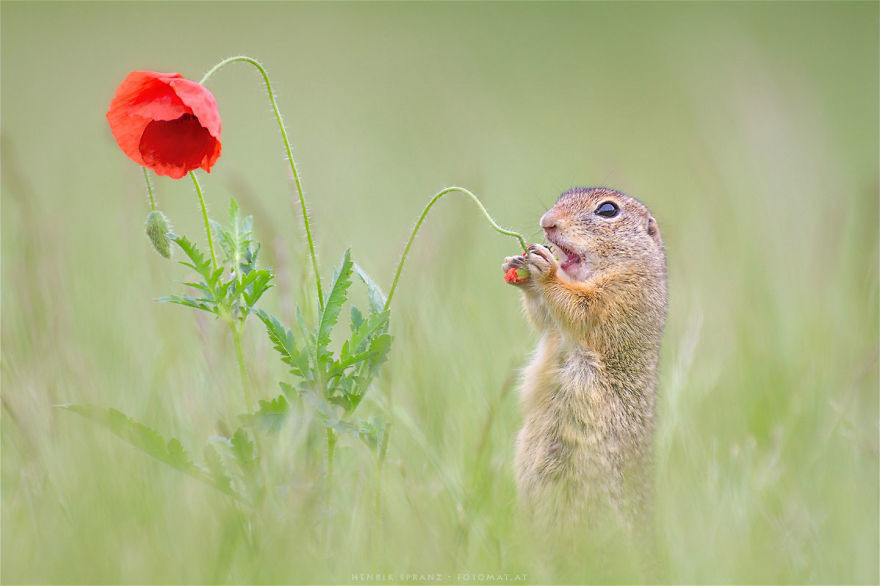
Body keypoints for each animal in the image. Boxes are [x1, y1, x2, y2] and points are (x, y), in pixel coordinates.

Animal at [502, 187, 668, 524]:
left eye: (607, 210)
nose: (547, 221)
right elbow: (544, 317)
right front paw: (518, 267)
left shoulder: (623, 295)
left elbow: (582, 309)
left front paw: (545, 269)